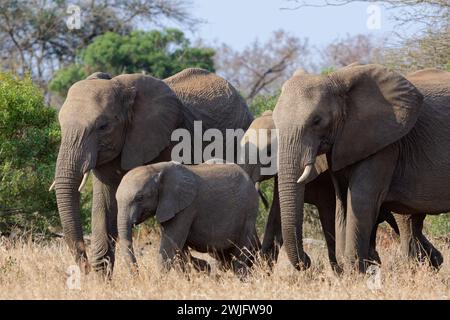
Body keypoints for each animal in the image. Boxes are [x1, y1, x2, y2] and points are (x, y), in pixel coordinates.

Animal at [115, 161, 260, 276]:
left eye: (140, 198)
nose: (138, 276)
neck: (156, 168)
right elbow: (179, 250)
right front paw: (198, 272)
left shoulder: (185, 208)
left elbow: (170, 247)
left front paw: (156, 283)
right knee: (224, 258)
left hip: (249, 213)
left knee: (239, 254)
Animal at [272, 63, 448, 272]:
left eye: (317, 120)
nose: (307, 260)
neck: (336, 81)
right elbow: (342, 203)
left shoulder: (383, 143)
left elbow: (361, 200)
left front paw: (355, 270)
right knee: (411, 220)